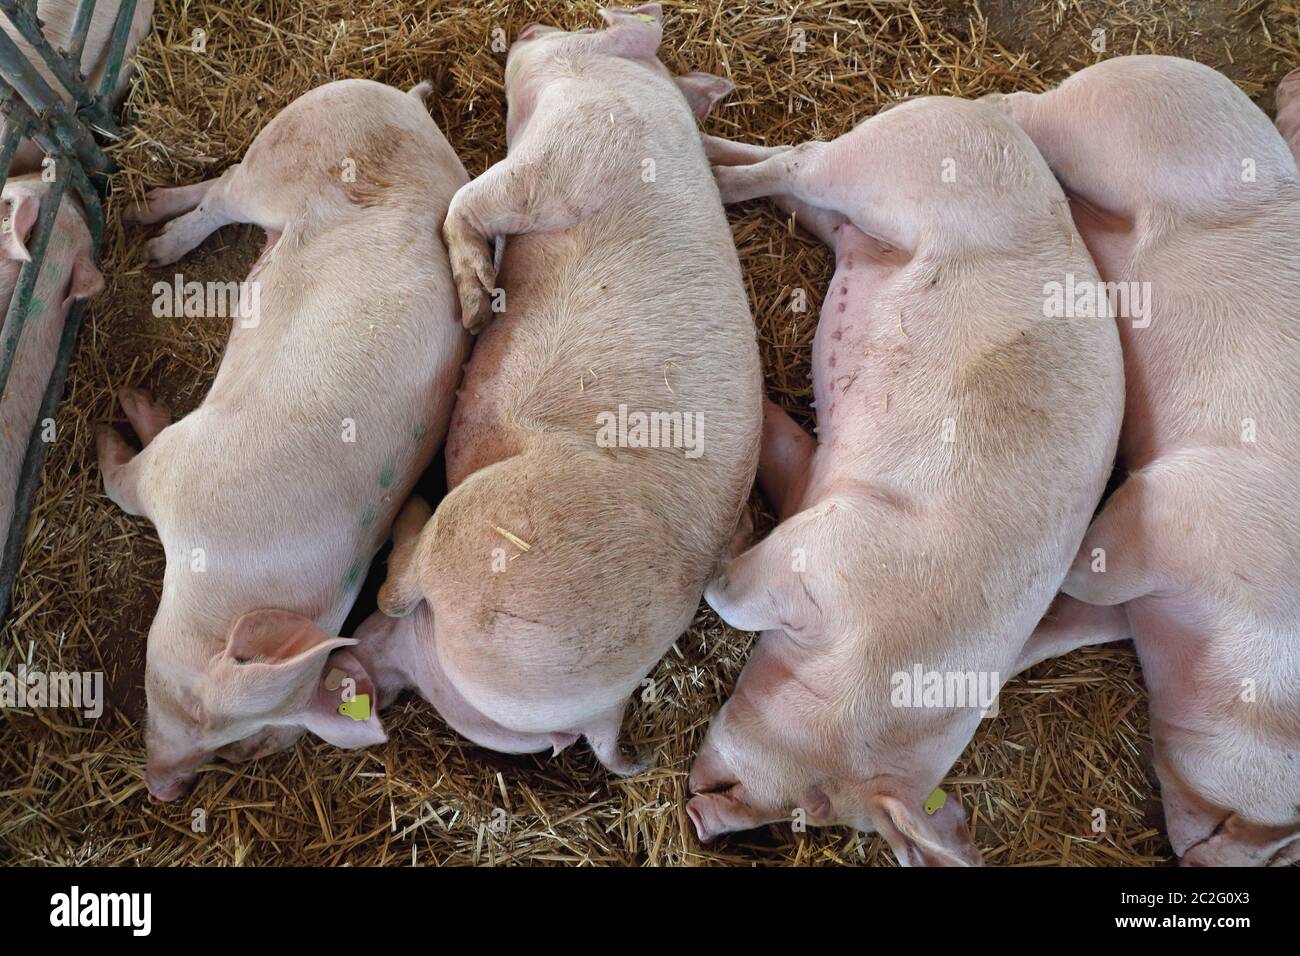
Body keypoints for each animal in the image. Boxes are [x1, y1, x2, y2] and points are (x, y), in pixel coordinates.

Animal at [102, 79, 470, 800]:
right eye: (192, 704)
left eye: (230, 745)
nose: (165, 790)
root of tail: (407, 105)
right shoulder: (172, 472)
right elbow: (120, 481)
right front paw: (115, 415)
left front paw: (131, 407)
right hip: (285, 154)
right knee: (223, 190)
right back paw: (152, 237)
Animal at [350, 5, 761, 775]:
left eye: (582, 26)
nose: (530, 25)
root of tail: (605, 710)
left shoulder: (567, 154)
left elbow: (469, 200)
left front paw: (477, 306)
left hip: (491, 530)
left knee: (398, 590)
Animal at [685, 98, 1125, 865]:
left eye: (811, 812)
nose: (699, 822)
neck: (875, 659)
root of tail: (993, 121)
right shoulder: (830, 550)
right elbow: (736, 599)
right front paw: (717, 567)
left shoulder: (814, 485)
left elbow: (784, 444)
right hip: (887, 164)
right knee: (800, 158)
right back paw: (713, 169)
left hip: (854, 216)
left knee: (796, 176)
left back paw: (707, 150)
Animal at [990, 56, 1300, 866]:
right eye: (1230, 821)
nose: (1190, 856)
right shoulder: (1179, 506)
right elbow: (1092, 568)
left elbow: (1077, 626)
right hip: (1119, 122)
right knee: (1030, 110)